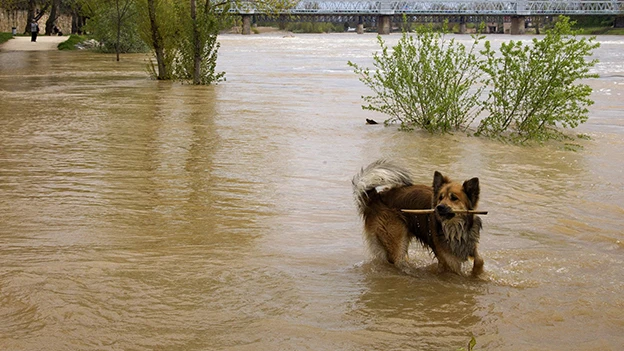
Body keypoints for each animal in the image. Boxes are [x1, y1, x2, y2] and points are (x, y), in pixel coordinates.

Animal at [354, 160, 486, 278]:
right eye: (440, 197)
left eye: (454, 198)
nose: (439, 207)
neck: (454, 228)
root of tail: (376, 197)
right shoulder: (449, 262)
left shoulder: (470, 244)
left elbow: (480, 260)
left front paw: (477, 274)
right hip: (395, 238)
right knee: (397, 260)